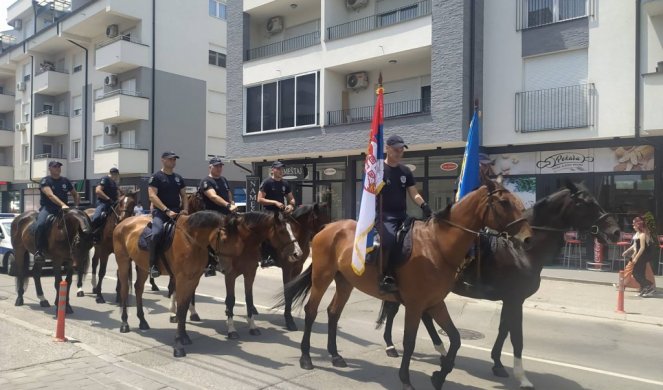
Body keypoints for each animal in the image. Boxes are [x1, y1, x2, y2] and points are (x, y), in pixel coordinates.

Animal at [114, 210, 249, 356]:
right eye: (224, 240)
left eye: (240, 242)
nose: (228, 270)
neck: (191, 240)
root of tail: (122, 223)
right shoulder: (181, 279)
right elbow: (180, 309)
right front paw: (178, 345)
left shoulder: (193, 279)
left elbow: (184, 309)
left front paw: (184, 337)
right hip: (123, 261)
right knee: (124, 289)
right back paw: (124, 324)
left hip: (143, 266)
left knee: (138, 288)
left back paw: (143, 321)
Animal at [280, 183, 536, 390]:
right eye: (504, 202)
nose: (527, 239)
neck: (437, 246)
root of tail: (327, 228)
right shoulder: (415, 305)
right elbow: (410, 341)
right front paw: (406, 379)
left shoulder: (435, 303)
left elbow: (455, 339)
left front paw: (439, 376)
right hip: (322, 277)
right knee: (311, 311)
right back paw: (306, 358)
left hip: (344, 282)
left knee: (333, 313)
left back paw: (335, 355)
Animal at [378, 181, 624, 388]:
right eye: (585, 203)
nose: (615, 231)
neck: (520, 250)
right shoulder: (515, 299)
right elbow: (516, 336)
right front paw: (522, 377)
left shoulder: (511, 299)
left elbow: (504, 329)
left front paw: (497, 363)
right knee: (395, 311)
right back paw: (392, 346)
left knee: (421, 316)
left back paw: (438, 349)